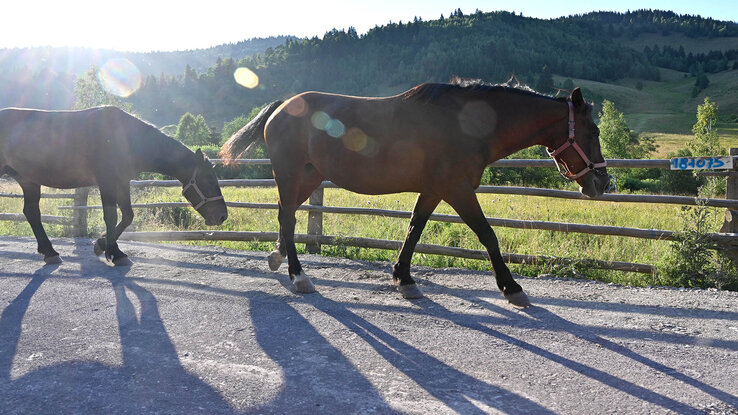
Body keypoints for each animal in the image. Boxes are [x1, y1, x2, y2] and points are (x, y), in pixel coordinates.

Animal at [0, 105, 227, 264]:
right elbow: (111, 216)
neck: (127, 138)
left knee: (31, 213)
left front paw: (102, 245)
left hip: (28, 181)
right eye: (207, 179)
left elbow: (127, 216)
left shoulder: (122, 181)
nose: (222, 216)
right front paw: (115, 253)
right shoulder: (106, 181)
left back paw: (49, 252)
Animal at [220, 79, 608, 308]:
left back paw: (277, 257)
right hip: (291, 174)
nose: (602, 183)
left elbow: (413, 229)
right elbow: (488, 235)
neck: (469, 124)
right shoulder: (457, 189)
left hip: (309, 177)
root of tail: (283, 106)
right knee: (287, 217)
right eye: (594, 130)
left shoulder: (434, 190)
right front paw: (512, 288)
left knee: (287, 215)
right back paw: (299, 276)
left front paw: (404, 278)